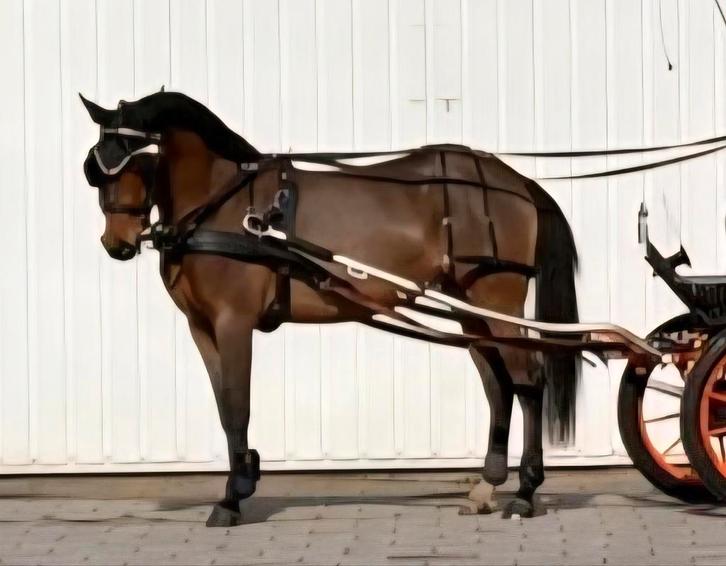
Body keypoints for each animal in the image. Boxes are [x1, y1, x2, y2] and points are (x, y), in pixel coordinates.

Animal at [80, 91, 578, 526]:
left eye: (132, 159)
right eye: (96, 166)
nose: (116, 244)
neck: (223, 204)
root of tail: (515, 182)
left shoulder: (233, 323)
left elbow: (238, 405)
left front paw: (233, 498)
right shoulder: (202, 328)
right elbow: (224, 408)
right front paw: (244, 476)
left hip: (497, 300)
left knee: (528, 381)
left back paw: (526, 492)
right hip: (470, 307)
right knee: (499, 385)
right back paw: (487, 488)